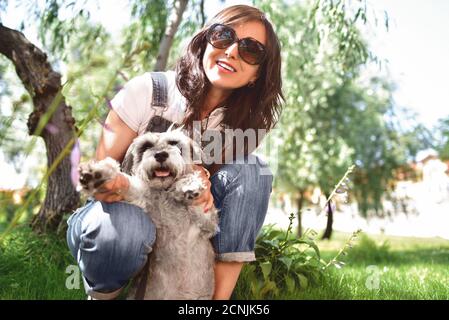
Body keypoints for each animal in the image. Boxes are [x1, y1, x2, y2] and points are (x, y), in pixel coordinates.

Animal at [79, 128, 219, 300]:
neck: (165, 193)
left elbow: (199, 207)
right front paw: (101, 175)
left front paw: (188, 184)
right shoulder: (142, 198)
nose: (161, 155)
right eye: (146, 146)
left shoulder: (207, 224)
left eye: (174, 143)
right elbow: (129, 185)